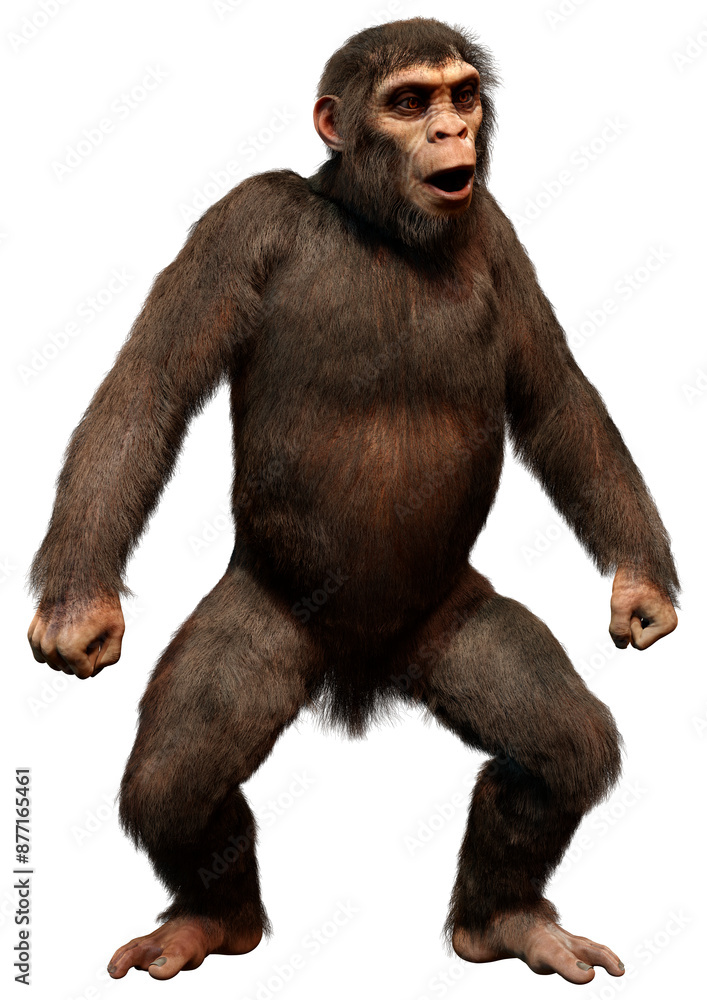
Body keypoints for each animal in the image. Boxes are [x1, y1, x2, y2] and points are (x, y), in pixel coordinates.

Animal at [27, 16, 678, 985]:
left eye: (460, 95)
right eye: (407, 102)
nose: (449, 131)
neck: (376, 225)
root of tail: (362, 672)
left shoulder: (495, 229)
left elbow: (555, 396)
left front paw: (640, 586)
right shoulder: (241, 222)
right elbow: (150, 387)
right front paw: (77, 610)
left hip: (451, 619)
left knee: (560, 756)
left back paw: (505, 921)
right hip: (270, 617)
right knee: (178, 784)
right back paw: (211, 921)